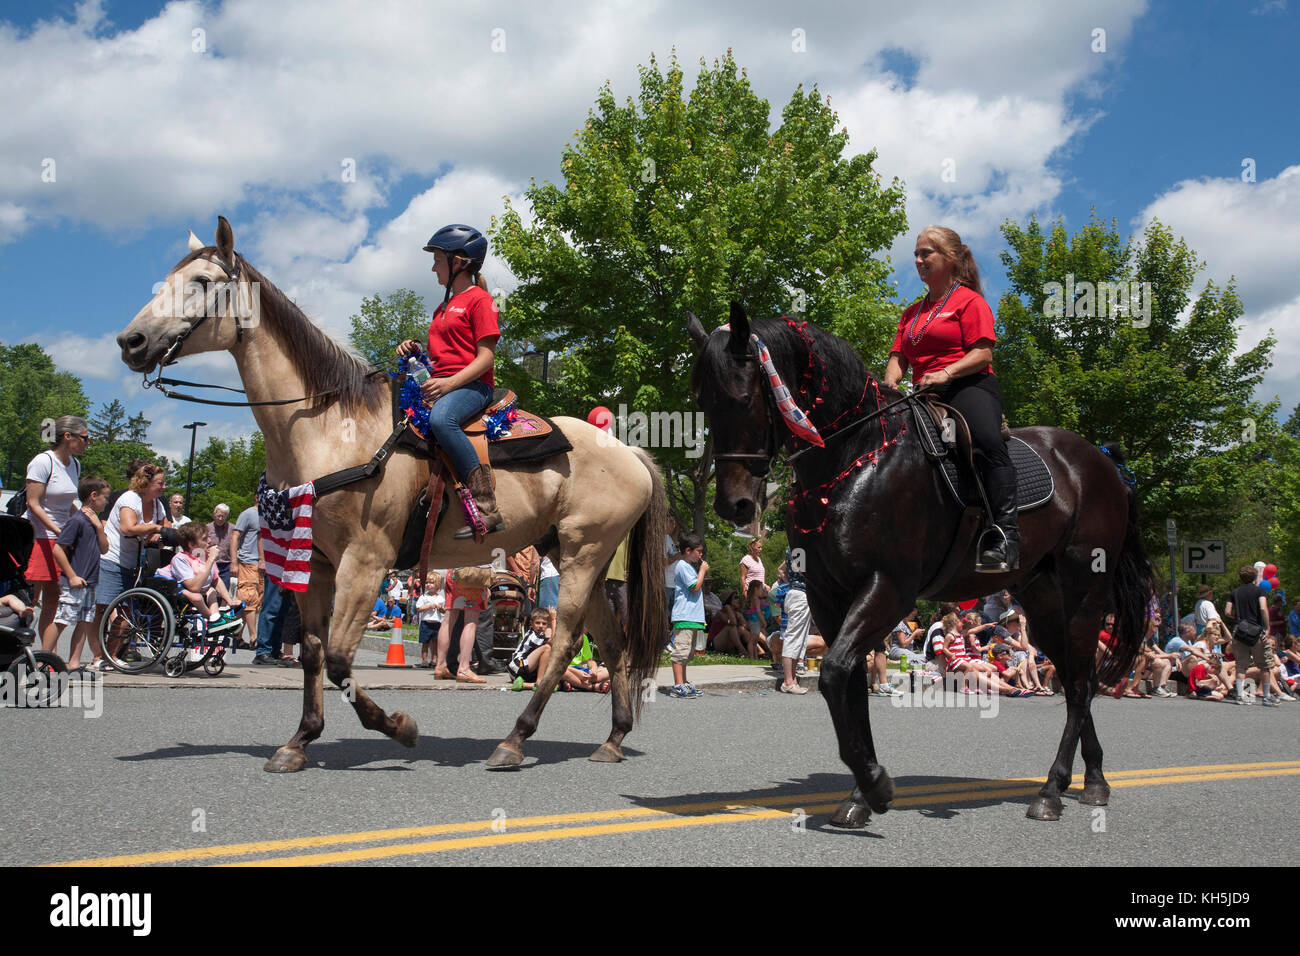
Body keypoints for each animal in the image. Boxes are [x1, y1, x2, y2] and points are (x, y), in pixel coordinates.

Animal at [115, 217, 665, 770]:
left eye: (203, 282)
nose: (130, 340)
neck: (333, 429)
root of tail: (628, 452)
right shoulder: (315, 562)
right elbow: (314, 653)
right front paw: (300, 740)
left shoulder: (366, 560)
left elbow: (340, 659)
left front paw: (398, 727)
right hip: (575, 554)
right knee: (611, 642)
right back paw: (613, 738)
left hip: (582, 554)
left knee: (566, 641)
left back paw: (514, 740)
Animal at [686, 304, 1154, 822]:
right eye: (705, 401)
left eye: (744, 396)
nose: (733, 505)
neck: (855, 457)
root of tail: (1104, 461)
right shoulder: (829, 595)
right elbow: (848, 682)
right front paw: (860, 795)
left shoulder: (888, 587)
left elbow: (835, 673)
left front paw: (875, 785)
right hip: (1044, 602)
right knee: (1075, 680)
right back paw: (1091, 780)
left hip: (1085, 594)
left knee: (1081, 684)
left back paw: (1053, 790)